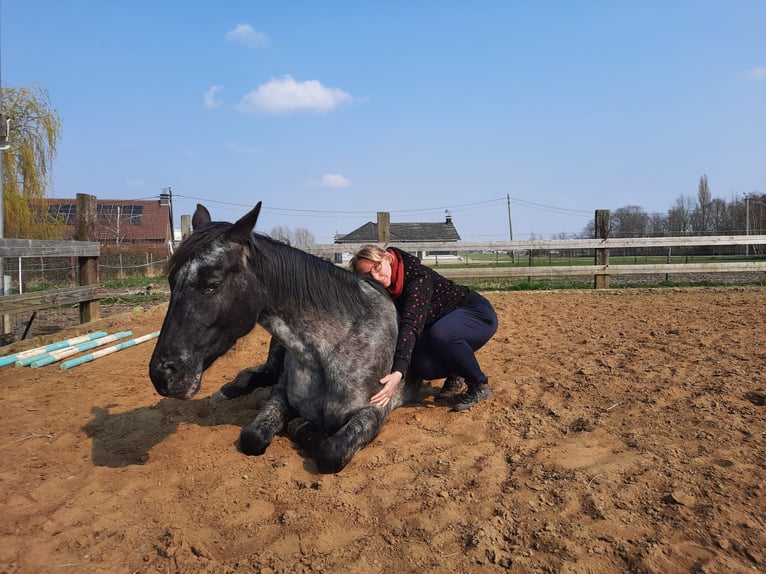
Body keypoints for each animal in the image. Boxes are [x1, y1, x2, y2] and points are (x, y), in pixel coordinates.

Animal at [147, 205, 416, 474]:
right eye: (171, 281)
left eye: (213, 283)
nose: (162, 375)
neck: (333, 347)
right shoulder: (281, 395)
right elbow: (253, 437)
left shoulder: (374, 411)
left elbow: (331, 451)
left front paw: (300, 427)